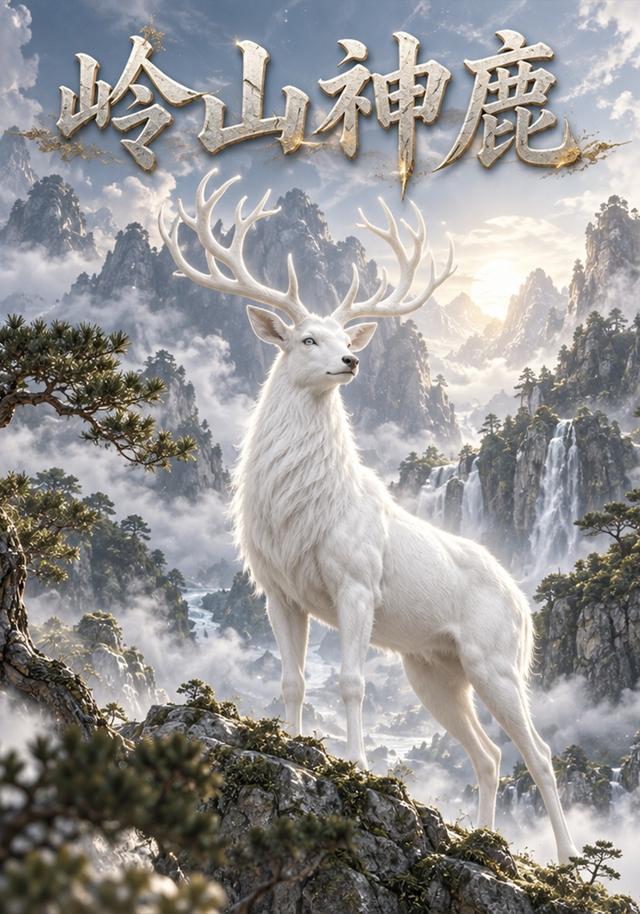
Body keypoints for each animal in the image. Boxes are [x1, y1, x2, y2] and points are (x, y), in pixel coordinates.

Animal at [159, 169, 578, 864]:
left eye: (341, 339)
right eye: (307, 338)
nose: (351, 362)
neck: (299, 511)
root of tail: (526, 608)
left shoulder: (355, 581)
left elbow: (351, 681)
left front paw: (353, 765)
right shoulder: (278, 590)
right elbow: (293, 680)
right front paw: (292, 743)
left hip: (495, 659)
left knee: (539, 753)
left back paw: (570, 862)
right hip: (433, 667)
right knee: (488, 755)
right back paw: (485, 836)